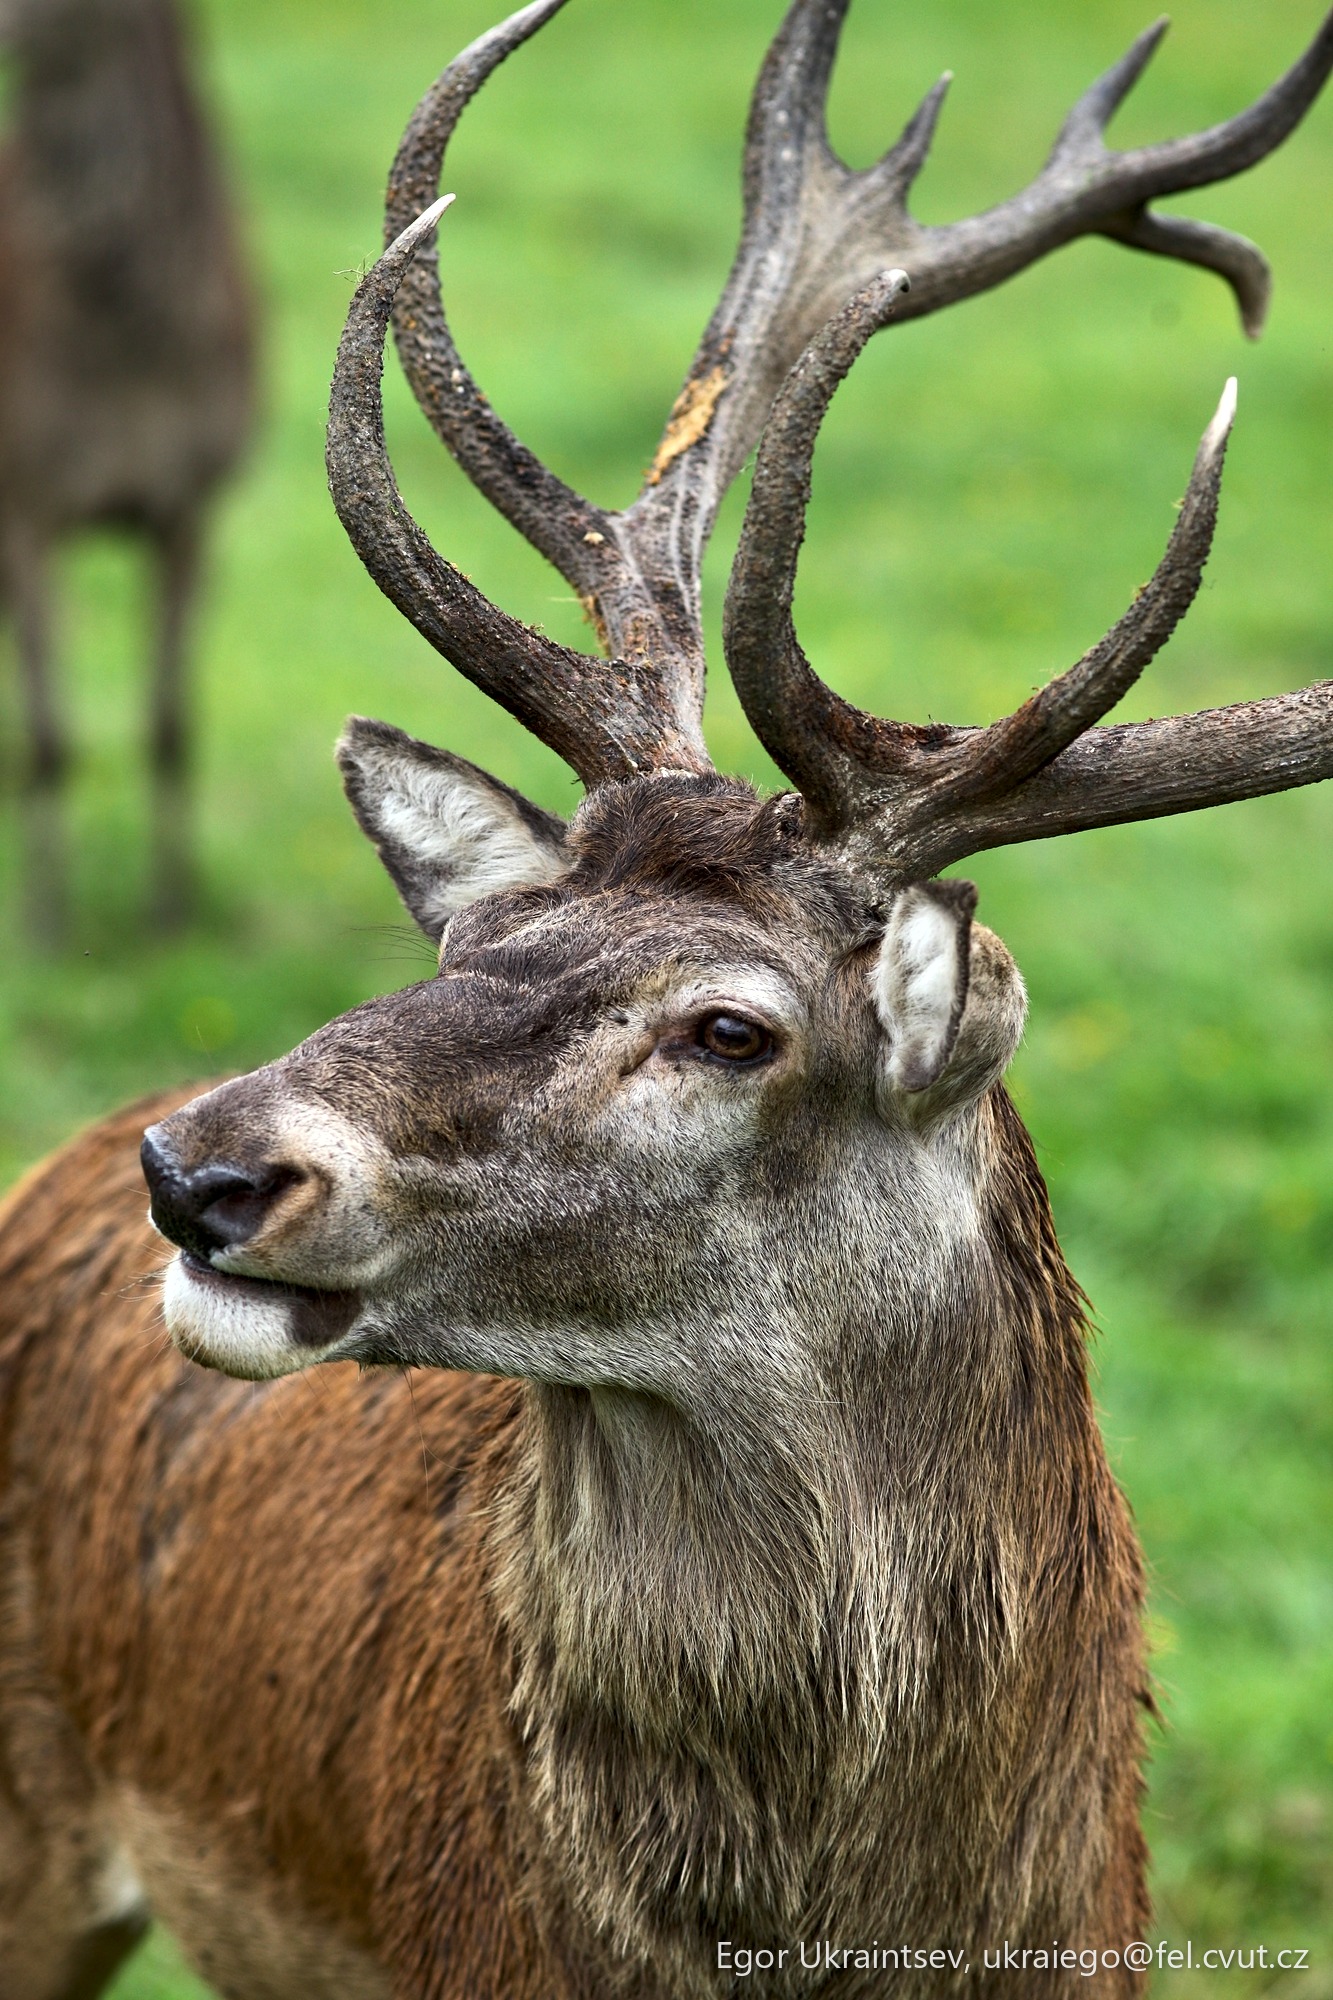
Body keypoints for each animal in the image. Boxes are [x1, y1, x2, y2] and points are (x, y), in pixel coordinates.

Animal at [0, 0, 254, 943]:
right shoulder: (26, 506)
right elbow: (48, 737)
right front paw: (48, 919)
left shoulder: (194, 502)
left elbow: (170, 722)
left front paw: (171, 910)